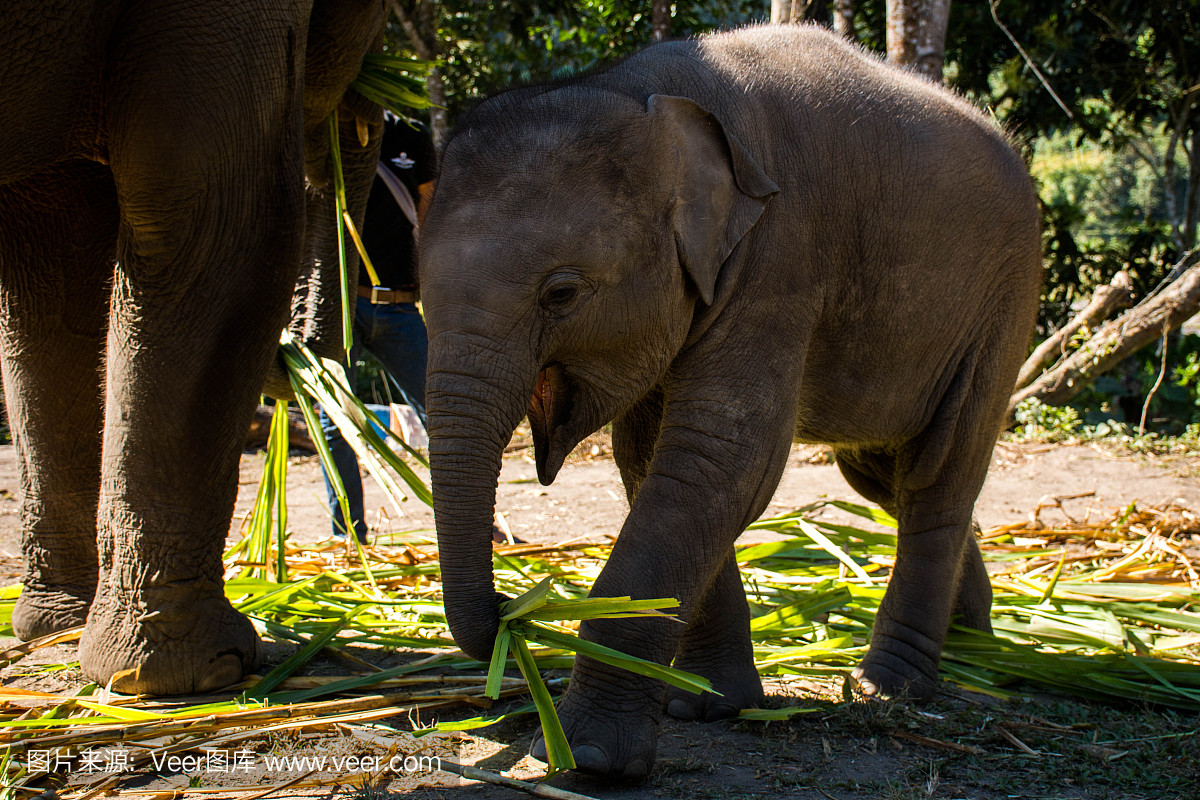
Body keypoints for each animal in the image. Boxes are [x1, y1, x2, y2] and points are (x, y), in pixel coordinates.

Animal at [420, 23, 1041, 777]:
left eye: (561, 294)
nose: (512, 610)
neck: (644, 91)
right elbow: (652, 459)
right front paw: (704, 704)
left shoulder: (783, 254)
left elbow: (723, 462)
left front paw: (587, 759)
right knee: (882, 476)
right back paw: (975, 636)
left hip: (1004, 303)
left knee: (936, 475)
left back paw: (889, 689)